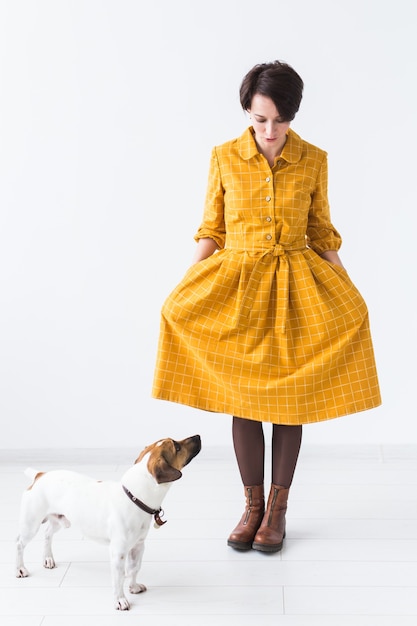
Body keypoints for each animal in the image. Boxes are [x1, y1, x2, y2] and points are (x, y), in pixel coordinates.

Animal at [14, 434, 200, 608]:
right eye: (177, 447)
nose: (198, 436)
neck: (135, 496)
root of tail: (40, 475)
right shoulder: (118, 552)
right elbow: (119, 577)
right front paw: (120, 599)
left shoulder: (138, 546)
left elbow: (134, 569)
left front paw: (133, 587)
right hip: (31, 524)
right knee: (19, 544)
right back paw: (20, 569)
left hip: (60, 520)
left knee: (47, 534)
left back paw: (48, 558)